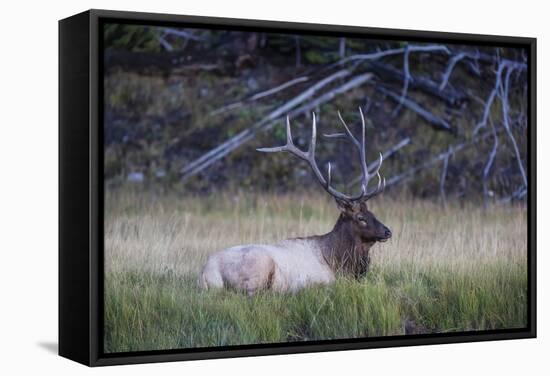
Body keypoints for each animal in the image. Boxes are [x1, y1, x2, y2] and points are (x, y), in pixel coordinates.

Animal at [199, 108, 392, 294]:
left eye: (372, 213)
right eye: (361, 218)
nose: (388, 231)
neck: (338, 262)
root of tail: (205, 274)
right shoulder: (324, 279)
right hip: (259, 266)